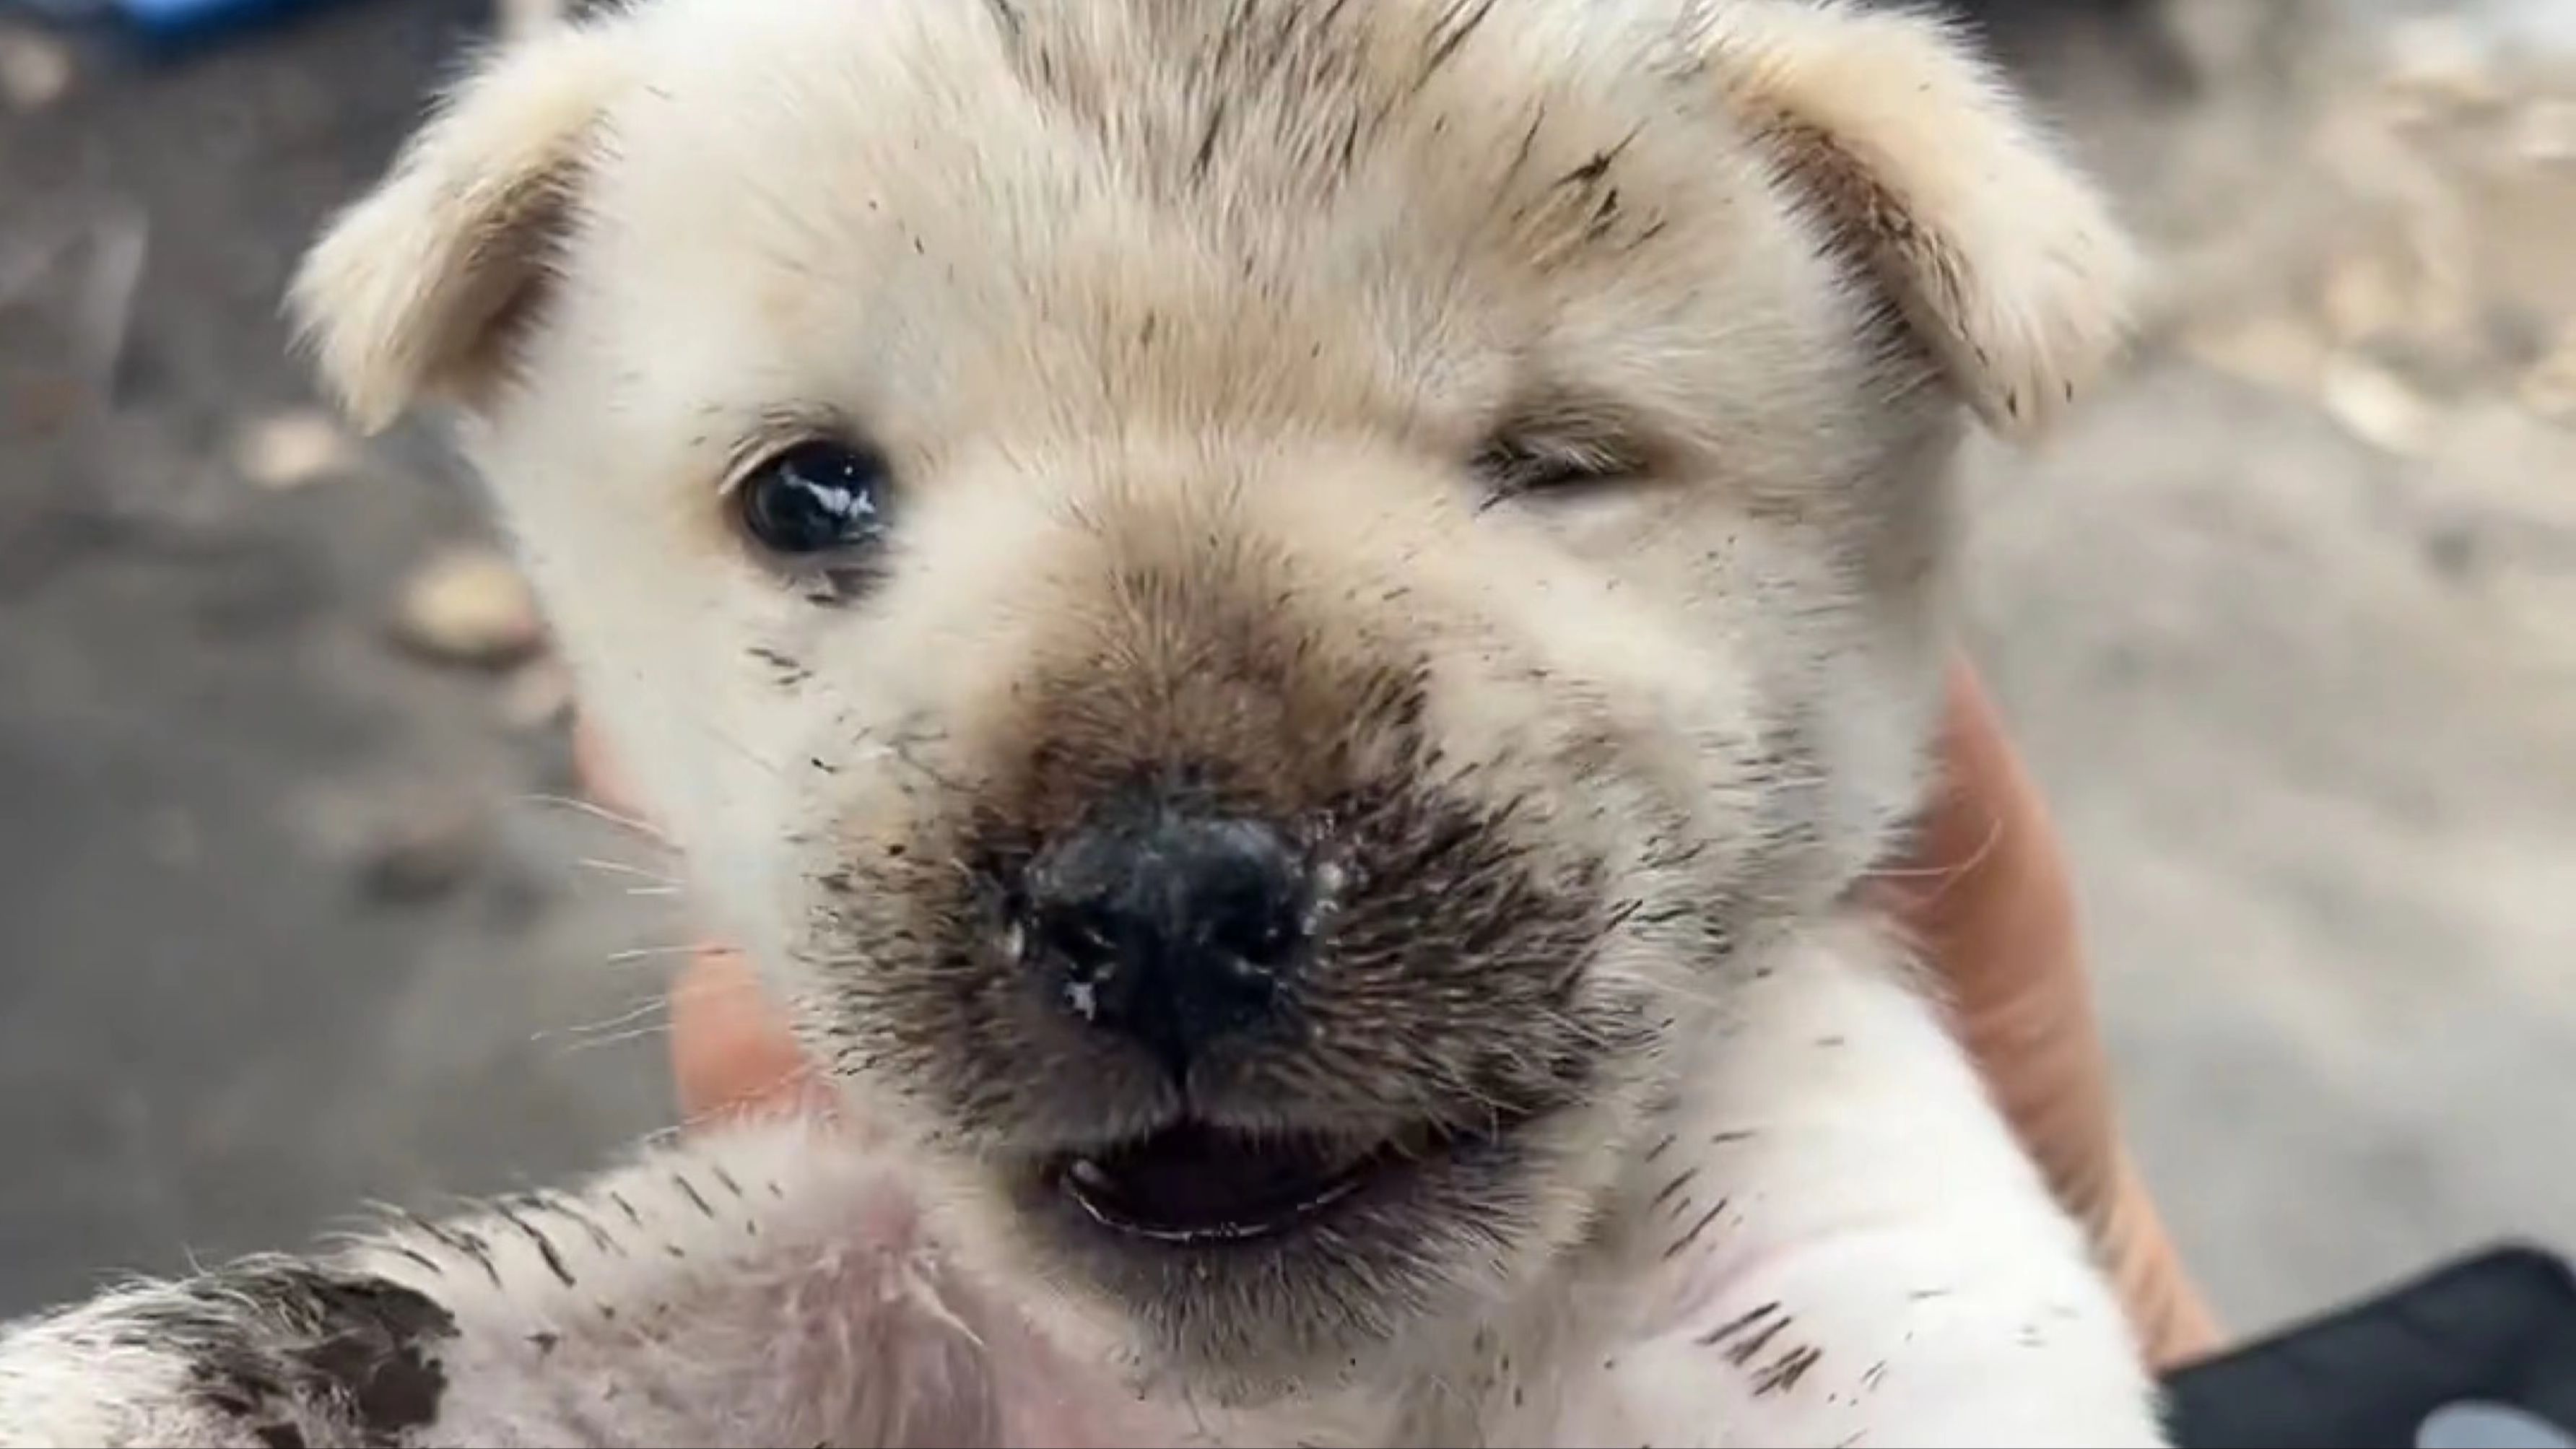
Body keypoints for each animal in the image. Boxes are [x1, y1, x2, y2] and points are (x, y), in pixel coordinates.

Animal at [0, 2, 2164, 1443]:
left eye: (1556, 465)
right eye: (809, 493)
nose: (1168, 906)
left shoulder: (1843, 1253)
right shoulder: (863, 1273)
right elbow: (392, 1326)